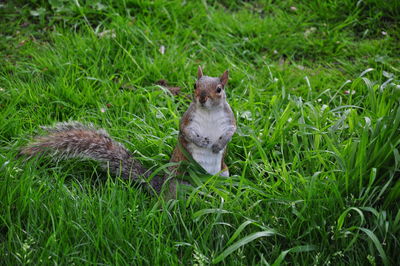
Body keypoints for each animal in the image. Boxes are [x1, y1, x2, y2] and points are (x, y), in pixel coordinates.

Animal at [19, 67, 238, 197]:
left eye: (219, 89)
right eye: (195, 85)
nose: (202, 98)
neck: (208, 112)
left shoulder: (229, 119)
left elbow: (231, 131)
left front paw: (219, 144)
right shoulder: (187, 120)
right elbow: (186, 132)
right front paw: (202, 142)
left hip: (224, 173)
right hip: (179, 183)